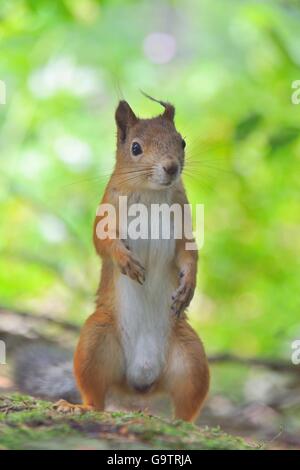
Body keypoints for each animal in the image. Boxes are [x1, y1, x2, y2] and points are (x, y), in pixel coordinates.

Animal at [19, 95, 209, 422]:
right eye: (135, 148)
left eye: (182, 142)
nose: (171, 167)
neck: (150, 194)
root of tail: (139, 381)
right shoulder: (106, 212)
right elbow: (103, 242)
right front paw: (125, 261)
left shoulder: (182, 221)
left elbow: (189, 252)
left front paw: (189, 287)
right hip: (95, 342)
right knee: (96, 397)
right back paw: (78, 406)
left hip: (192, 358)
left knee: (187, 406)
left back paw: (189, 425)